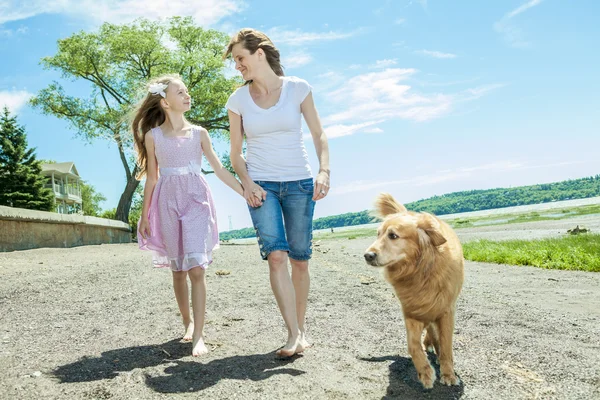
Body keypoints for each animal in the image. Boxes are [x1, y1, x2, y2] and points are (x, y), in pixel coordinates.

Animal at [360, 193, 464, 388]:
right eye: (378, 234)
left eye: (393, 235)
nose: (367, 255)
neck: (420, 270)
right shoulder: (412, 310)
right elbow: (413, 344)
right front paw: (425, 372)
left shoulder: (445, 310)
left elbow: (446, 345)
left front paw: (448, 373)